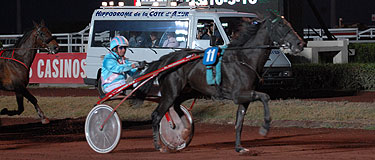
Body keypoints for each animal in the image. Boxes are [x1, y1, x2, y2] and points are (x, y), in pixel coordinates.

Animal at [137, 12, 306, 152]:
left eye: (289, 24)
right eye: (281, 25)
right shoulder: (239, 94)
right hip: (170, 93)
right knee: (157, 115)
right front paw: (265, 127)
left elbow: (239, 123)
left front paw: (239, 147)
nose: (300, 43)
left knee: (177, 107)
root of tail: (167, 59)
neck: (244, 58)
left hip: (187, 91)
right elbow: (265, 97)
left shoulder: (245, 98)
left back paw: (184, 129)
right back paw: (159, 145)